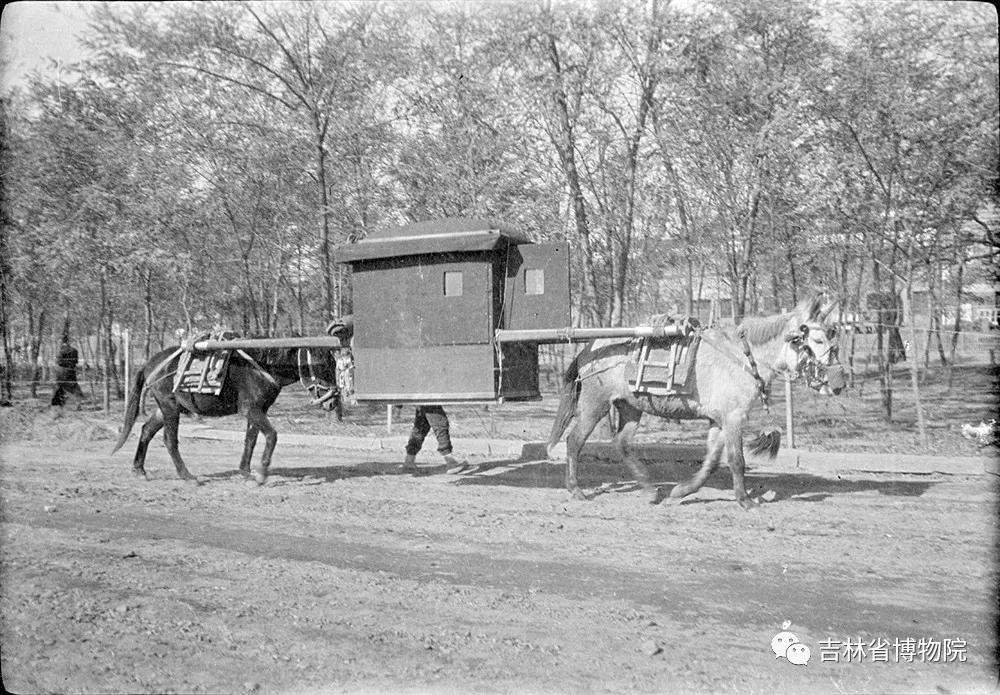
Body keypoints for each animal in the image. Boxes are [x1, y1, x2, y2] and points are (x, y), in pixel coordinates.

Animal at [111, 344, 340, 484]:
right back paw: (187, 476)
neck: (261, 366)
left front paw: (246, 472)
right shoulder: (251, 409)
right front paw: (261, 474)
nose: (332, 401)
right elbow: (272, 436)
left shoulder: (258, 410)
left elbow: (251, 440)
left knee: (146, 431)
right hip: (169, 408)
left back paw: (139, 469)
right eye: (322, 365)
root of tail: (150, 363)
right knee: (169, 440)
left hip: (164, 409)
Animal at [548, 290, 844, 508]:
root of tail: (588, 348)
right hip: (594, 405)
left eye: (833, 338)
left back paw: (650, 489)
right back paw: (576, 489)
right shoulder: (733, 418)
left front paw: (681, 491)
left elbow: (711, 462)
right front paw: (745, 500)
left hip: (630, 407)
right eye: (816, 340)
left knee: (621, 444)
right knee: (574, 441)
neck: (742, 356)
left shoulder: (719, 421)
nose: (839, 382)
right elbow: (737, 460)